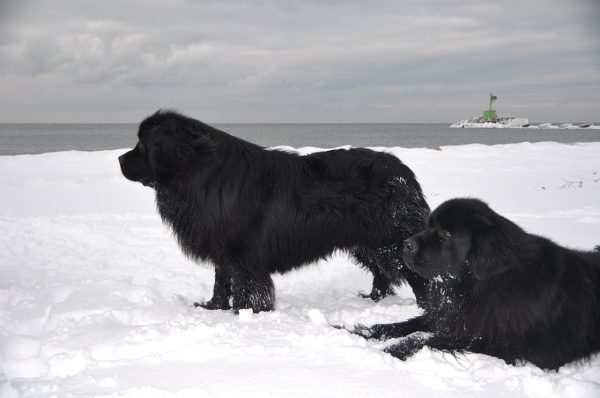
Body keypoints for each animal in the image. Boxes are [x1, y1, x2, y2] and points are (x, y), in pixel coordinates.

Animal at [117, 110, 428, 312]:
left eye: (143, 144)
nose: (119, 158)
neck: (200, 172)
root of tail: (405, 174)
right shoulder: (222, 246)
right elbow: (221, 280)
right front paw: (212, 307)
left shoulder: (244, 252)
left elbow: (248, 286)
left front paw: (246, 313)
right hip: (367, 243)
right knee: (383, 274)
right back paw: (372, 299)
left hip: (391, 241)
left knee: (418, 276)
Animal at [352, 198, 600, 370]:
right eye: (430, 225)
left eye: (447, 233)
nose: (406, 244)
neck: (480, 287)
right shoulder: (452, 316)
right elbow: (402, 326)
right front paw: (355, 332)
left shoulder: (491, 339)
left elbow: (422, 338)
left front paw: (389, 351)